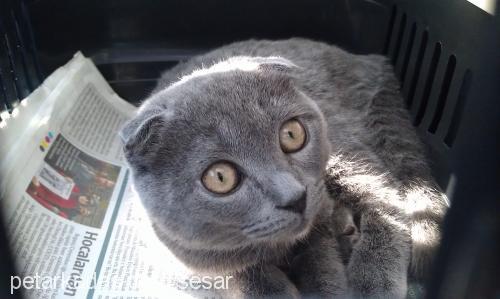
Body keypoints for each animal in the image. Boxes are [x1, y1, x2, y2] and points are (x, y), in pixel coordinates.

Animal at [121, 38, 450, 298]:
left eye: (291, 135)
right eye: (220, 177)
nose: (295, 198)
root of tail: (368, 60)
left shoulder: (319, 219)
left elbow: (322, 262)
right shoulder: (184, 260)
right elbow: (242, 275)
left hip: (341, 144)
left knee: (384, 197)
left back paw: (374, 280)